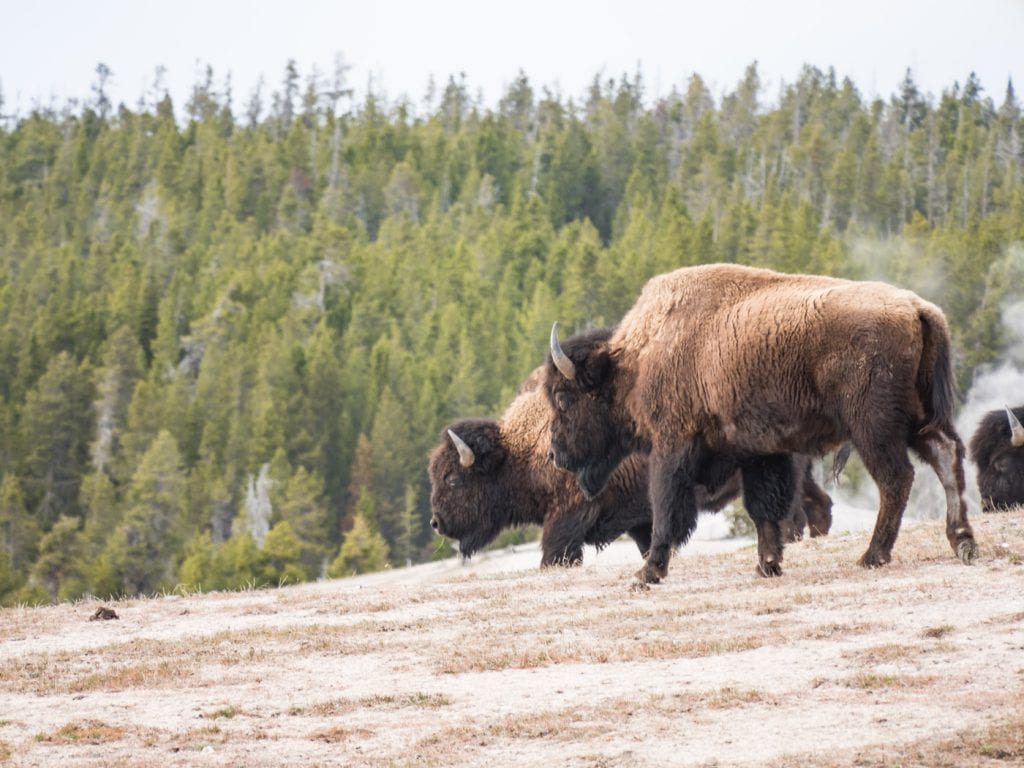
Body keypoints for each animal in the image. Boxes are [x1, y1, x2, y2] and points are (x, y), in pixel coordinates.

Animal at [423, 331, 831, 573]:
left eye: (454, 479)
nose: (436, 523)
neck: (522, 448)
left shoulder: (570, 516)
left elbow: (554, 553)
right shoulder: (638, 519)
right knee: (819, 504)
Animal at [548, 262, 978, 585]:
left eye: (563, 398)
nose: (555, 453)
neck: (637, 362)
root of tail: (917, 308)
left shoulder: (673, 447)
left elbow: (667, 510)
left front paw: (647, 573)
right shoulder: (760, 453)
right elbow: (764, 507)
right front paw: (768, 564)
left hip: (874, 427)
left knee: (896, 478)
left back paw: (873, 555)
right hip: (917, 418)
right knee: (946, 455)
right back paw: (962, 542)